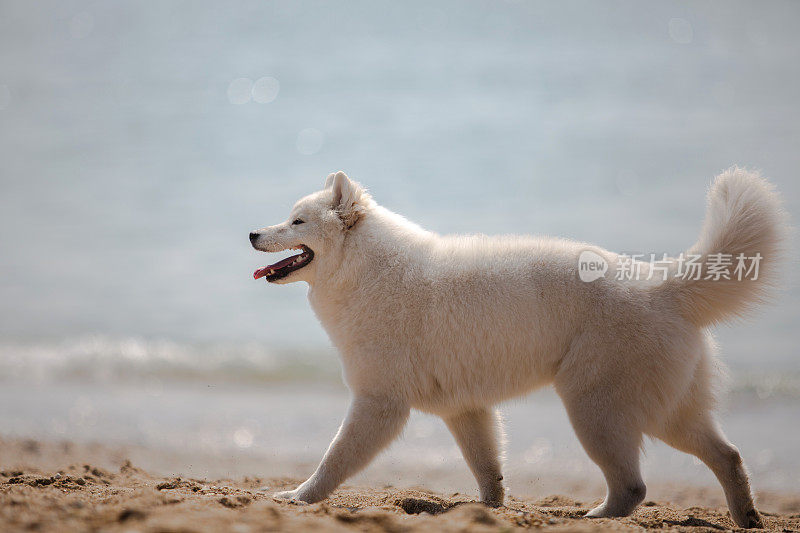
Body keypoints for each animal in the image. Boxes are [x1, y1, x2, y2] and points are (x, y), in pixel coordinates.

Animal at [252, 168, 788, 524]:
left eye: (297, 222)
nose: (253, 232)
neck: (368, 269)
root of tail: (664, 287)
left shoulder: (379, 403)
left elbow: (334, 458)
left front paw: (296, 497)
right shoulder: (465, 409)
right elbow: (488, 468)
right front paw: (488, 510)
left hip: (596, 408)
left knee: (635, 486)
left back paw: (598, 517)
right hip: (668, 411)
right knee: (729, 456)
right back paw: (747, 518)